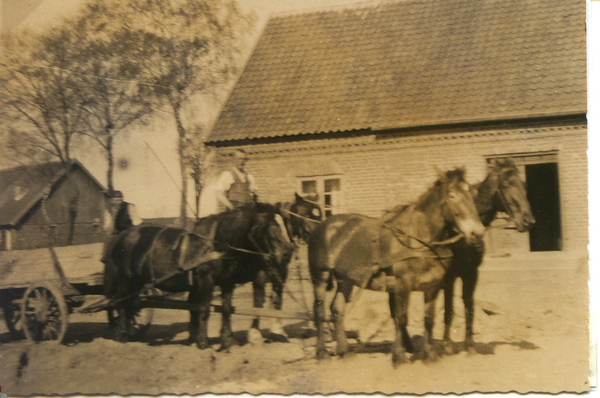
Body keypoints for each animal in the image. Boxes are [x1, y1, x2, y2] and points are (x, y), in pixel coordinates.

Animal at [193, 202, 294, 348]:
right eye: (265, 226)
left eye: (284, 223)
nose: (287, 253)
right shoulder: (259, 276)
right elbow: (258, 303)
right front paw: (254, 335)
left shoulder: (280, 274)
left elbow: (276, 301)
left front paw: (277, 331)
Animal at [308, 168, 486, 366]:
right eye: (452, 195)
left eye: (472, 194)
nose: (478, 233)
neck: (418, 240)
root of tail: (323, 225)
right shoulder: (402, 284)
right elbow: (401, 318)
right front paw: (399, 356)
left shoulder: (432, 286)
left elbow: (429, 319)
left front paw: (429, 354)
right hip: (320, 275)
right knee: (319, 310)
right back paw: (322, 352)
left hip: (346, 279)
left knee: (337, 309)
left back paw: (344, 351)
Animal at [440, 159, 536, 352]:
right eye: (506, 184)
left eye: (523, 184)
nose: (529, 221)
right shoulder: (450, 276)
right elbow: (449, 309)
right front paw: (446, 345)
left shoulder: (472, 273)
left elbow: (469, 305)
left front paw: (470, 345)